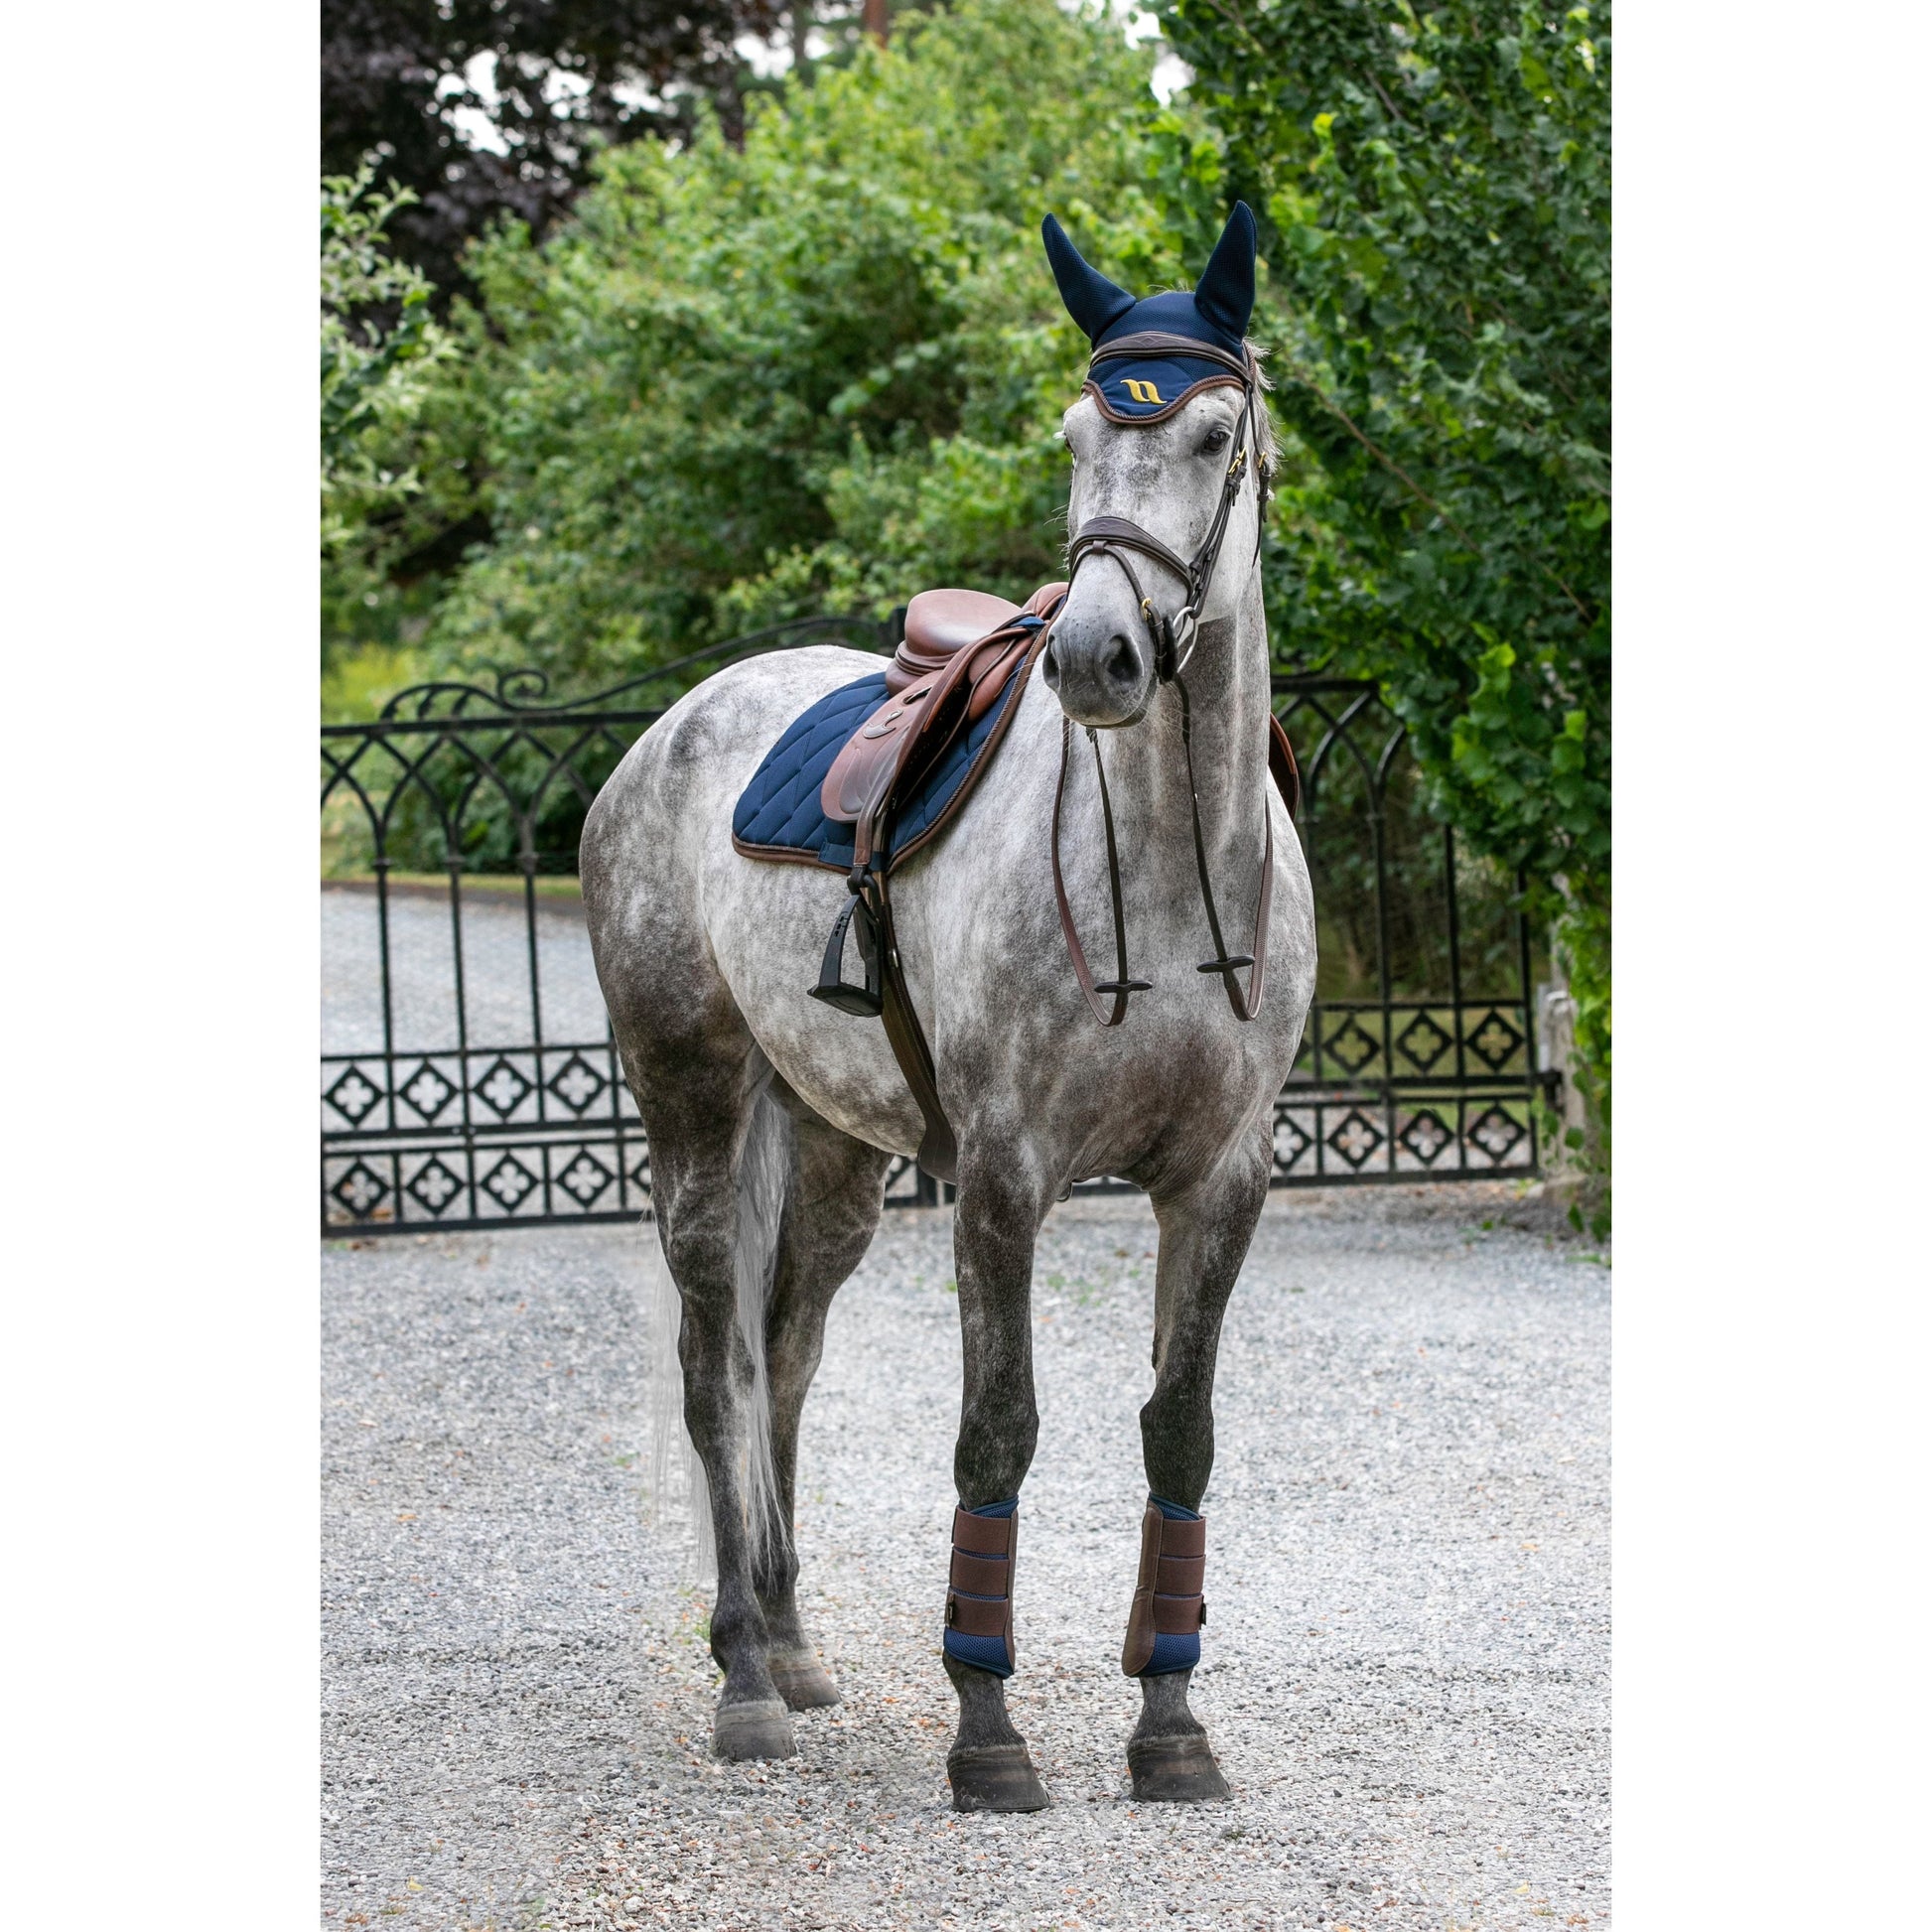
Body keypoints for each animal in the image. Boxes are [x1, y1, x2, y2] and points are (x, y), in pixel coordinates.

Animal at [579, 211, 1321, 1808]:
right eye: (1074, 436)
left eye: (1212, 433)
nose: (1095, 656)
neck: (1162, 872)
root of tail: (672, 726)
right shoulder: (1000, 1178)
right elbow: (999, 1430)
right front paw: (987, 1731)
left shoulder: (1219, 1182)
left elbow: (1179, 1431)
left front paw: (1170, 1725)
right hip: (695, 1103)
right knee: (715, 1367)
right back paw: (743, 1677)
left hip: (836, 1153)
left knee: (785, 1358)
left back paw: (792, 1643)